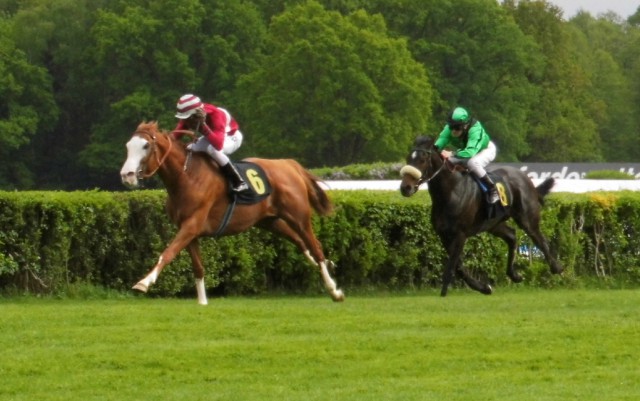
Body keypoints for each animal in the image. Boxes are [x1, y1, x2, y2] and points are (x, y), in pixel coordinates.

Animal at [117, 122, 342, 304]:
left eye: (145, 146)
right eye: (128, 146)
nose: (126, 175)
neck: (186, 176)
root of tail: (289, 164)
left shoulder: (192, 225)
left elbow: (168, 253)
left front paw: (144, 282)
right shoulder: (188, 230)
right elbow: (198, 267)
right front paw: (202, 302)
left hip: (298, 216)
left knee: (315, 245)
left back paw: (334, 290)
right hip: (269, 221)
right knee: (301, 241)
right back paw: (325, 265)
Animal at [398, 136, 564, 296]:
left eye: (422, 160)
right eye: (408, 158)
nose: (405, 188)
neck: (451, 193)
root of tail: (525, 177)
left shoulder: (460, 234)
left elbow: (453, 264)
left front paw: (446, 292)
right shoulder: (444, 235)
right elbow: (458, 266)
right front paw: (483, 288)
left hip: (526, 217)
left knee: (539, 239)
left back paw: (556, 267)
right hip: (494, 224)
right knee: (512, 236)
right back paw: (514, 275)